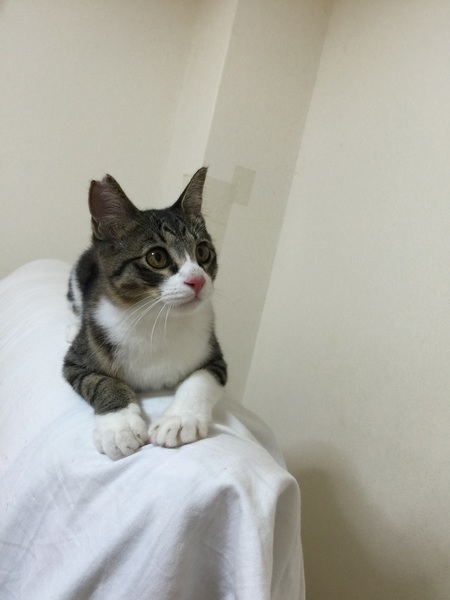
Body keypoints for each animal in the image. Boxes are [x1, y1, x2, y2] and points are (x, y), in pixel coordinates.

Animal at [63, 167, 227, 459]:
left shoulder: (214, 353)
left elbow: (202, 378)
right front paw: (119, 427)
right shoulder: (76, 360)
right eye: (156, 257)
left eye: (203, 251)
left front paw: (179, 420)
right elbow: (100, 381)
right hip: (78, 272)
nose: (198, 280)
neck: (158, 319)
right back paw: (73, 325)